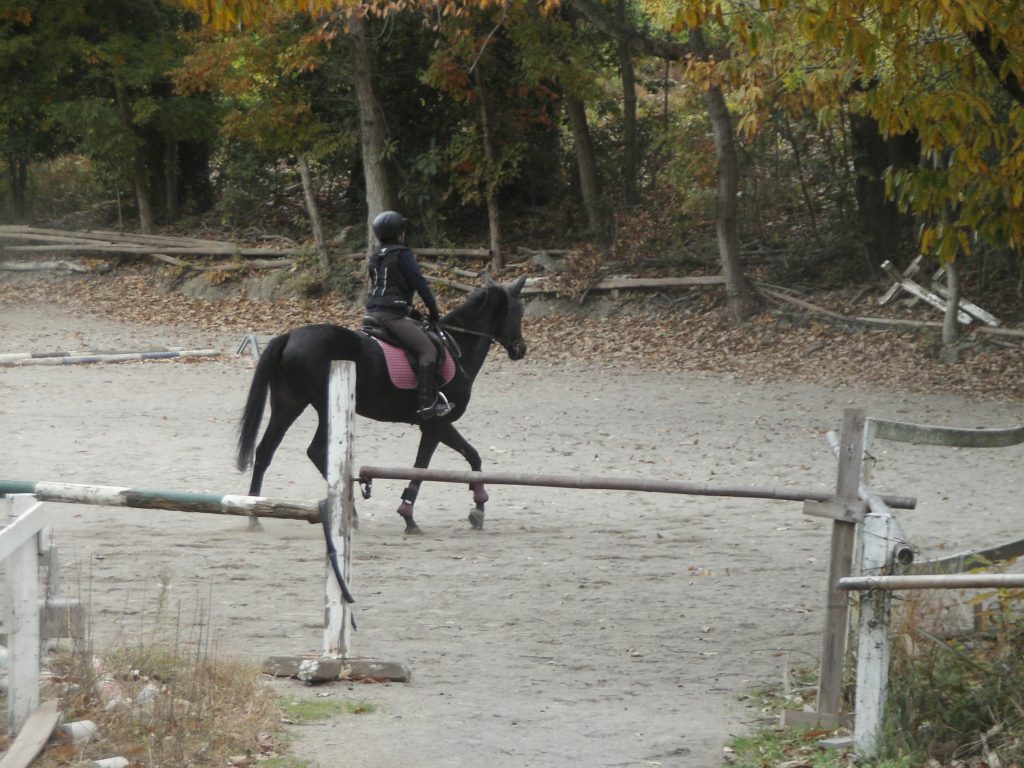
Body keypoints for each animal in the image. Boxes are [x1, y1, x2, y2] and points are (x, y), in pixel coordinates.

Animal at [236, 274, 528, 535]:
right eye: (519, 311)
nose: (521, 349)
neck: (458, 349)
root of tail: (289, 336)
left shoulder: (437, 427)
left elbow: (469, 457)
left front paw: (477, 506)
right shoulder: (436, 424)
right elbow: (430, 466)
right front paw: (411, 516)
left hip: (289, 404)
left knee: (266, 451)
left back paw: (255, 515)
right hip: (325, 405)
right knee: (315, 450)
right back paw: (346, 514)